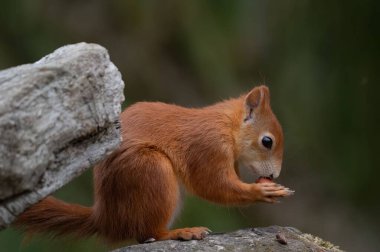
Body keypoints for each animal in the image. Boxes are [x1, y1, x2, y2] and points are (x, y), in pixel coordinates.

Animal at [14, 85, 294, 244]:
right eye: (267, 141)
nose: (273, 174)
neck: (228, 126)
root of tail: (107, 217)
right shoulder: (208, 147)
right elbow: (212, 185)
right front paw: (261, 191)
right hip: (151, 168)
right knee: (148, 233)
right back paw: (180, 232)